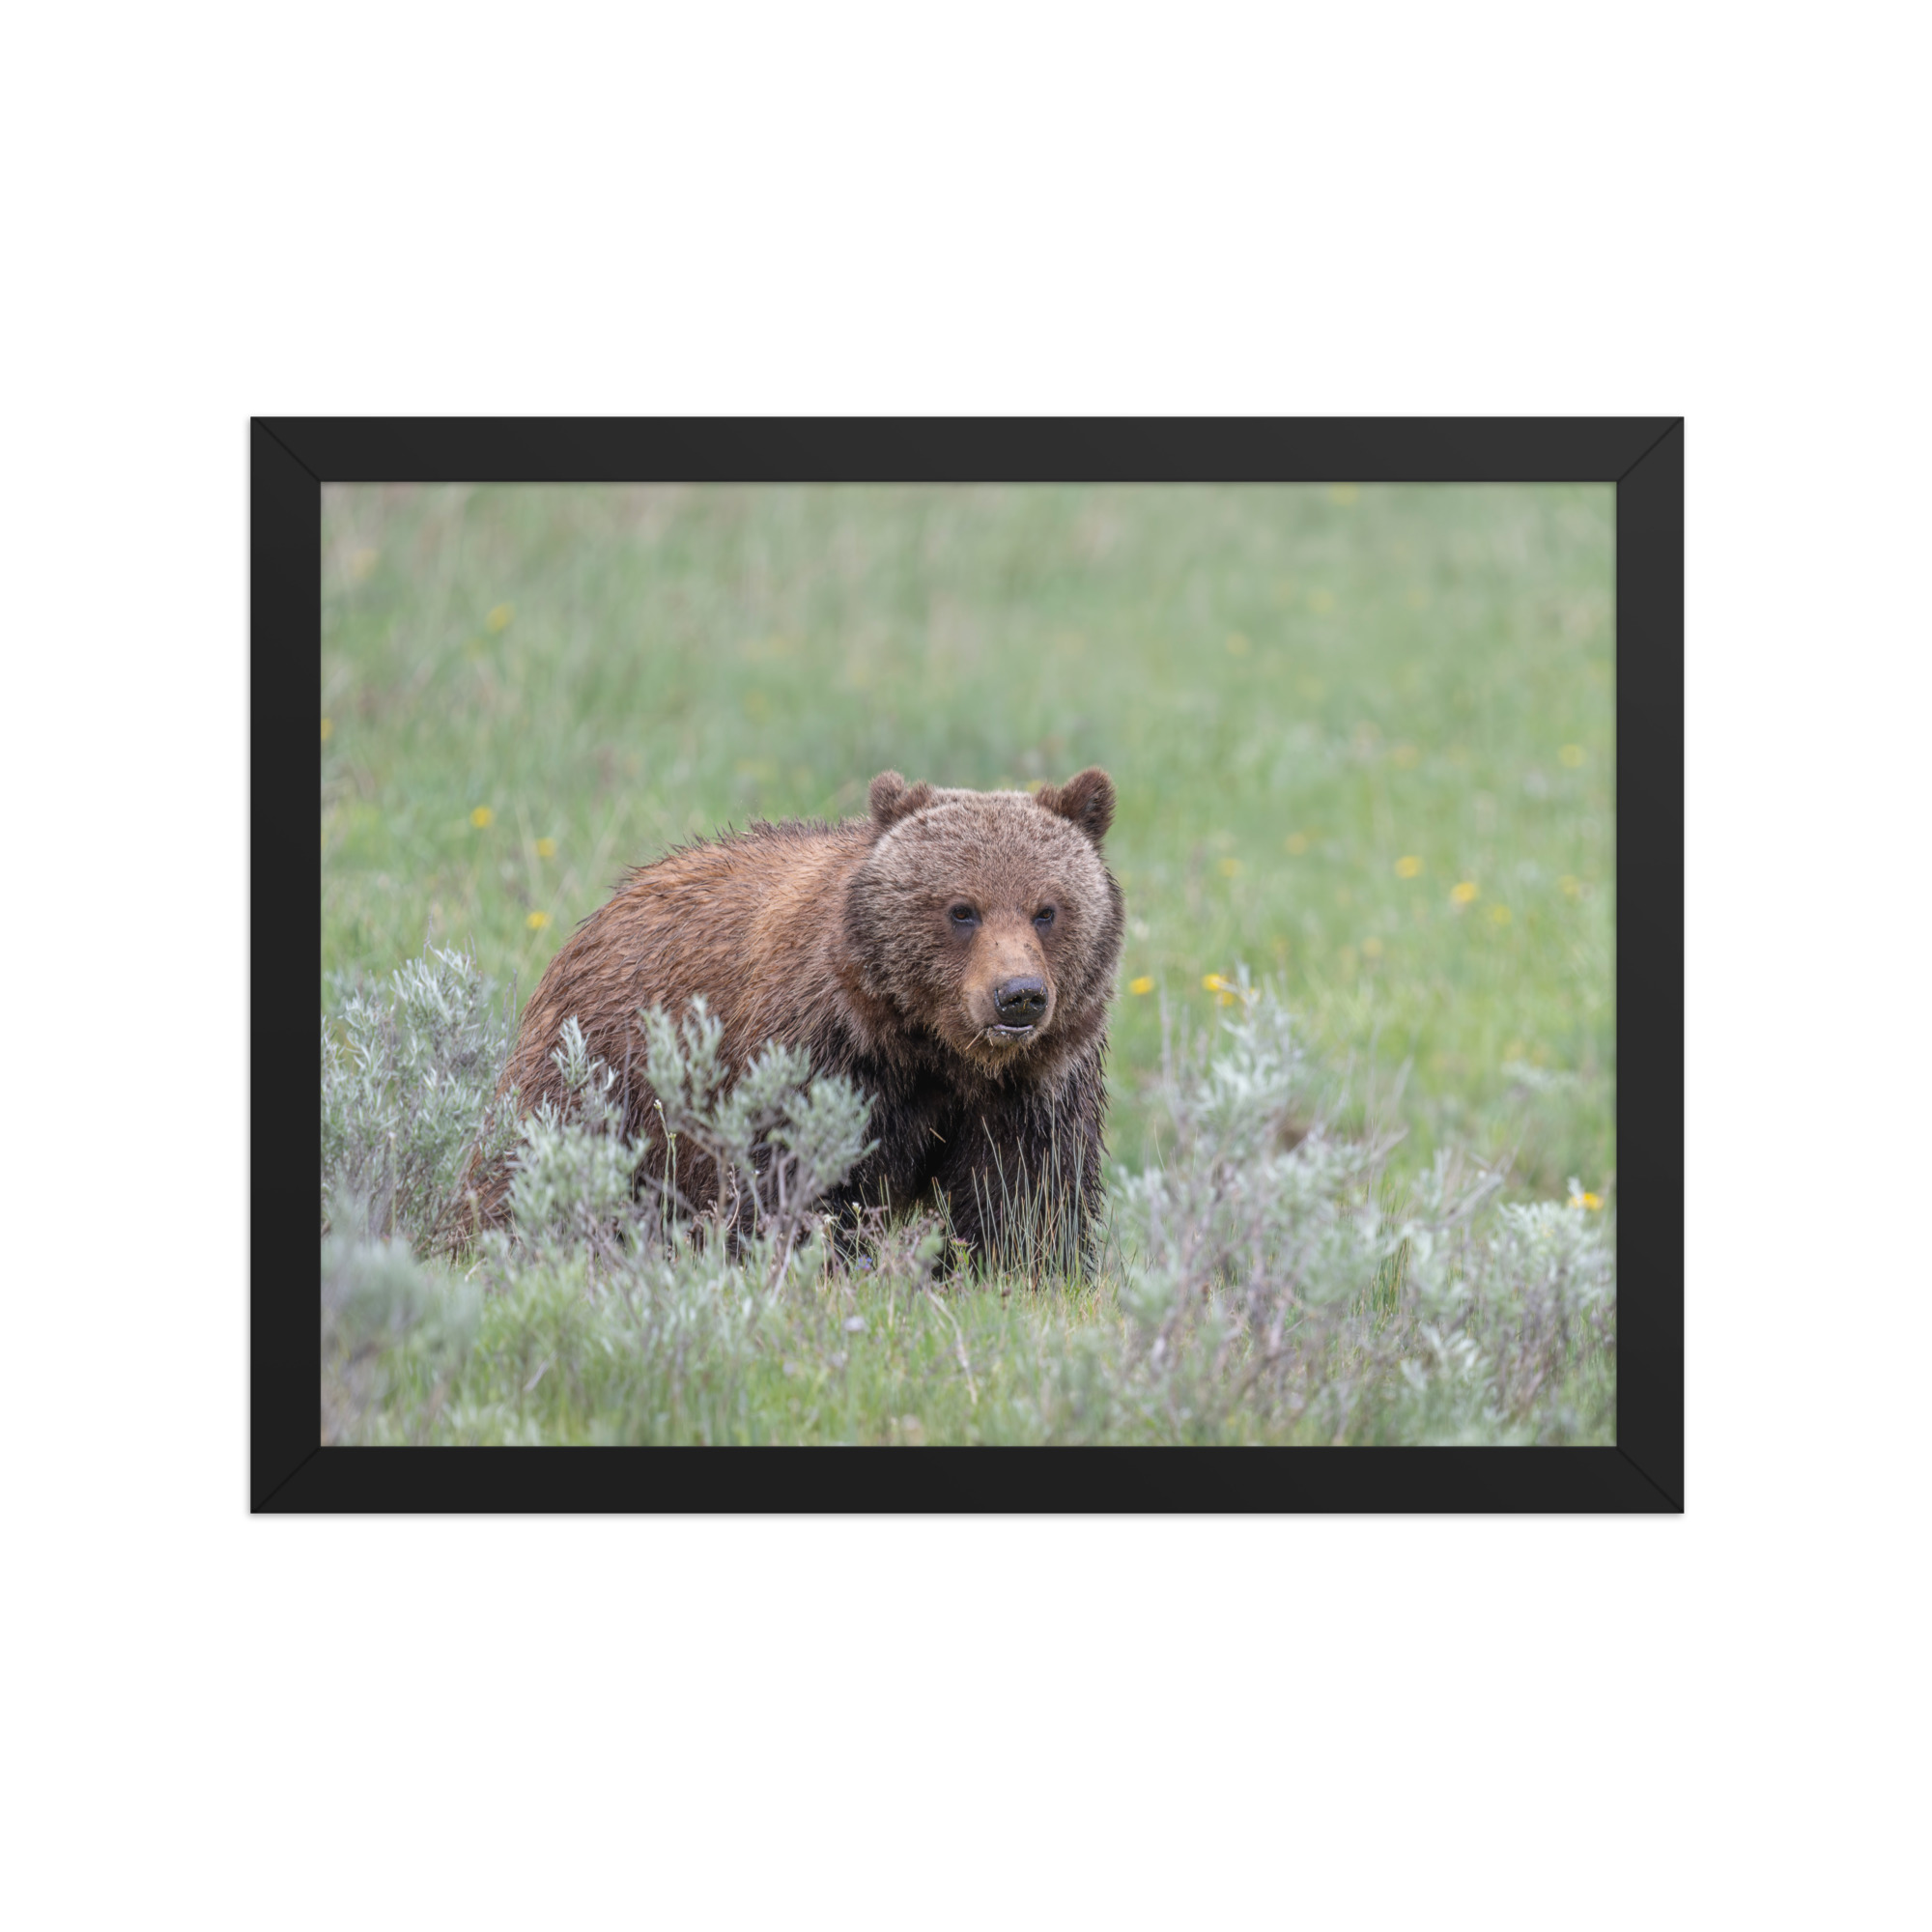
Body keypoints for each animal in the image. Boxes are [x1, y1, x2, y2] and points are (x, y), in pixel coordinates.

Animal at [468, 767, 1124, 1272]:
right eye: (962, 909)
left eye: (1047, 910)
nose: (1018, 996)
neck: (933, 1049)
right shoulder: (822, 1056)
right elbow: (790, 1179)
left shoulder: (1033, 1087)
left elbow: (1024, 1198)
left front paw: (1016, 1271)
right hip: (602, 1067)